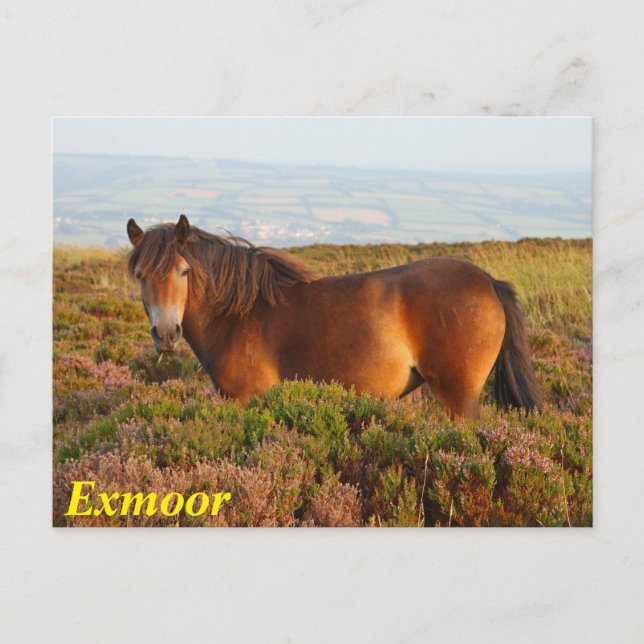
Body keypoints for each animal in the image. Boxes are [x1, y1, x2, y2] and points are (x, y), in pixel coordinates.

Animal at [126, 215, 542, 419]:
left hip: (460, 399)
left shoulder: (246, 400)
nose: (166, 333)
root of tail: (489, 282)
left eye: (184, 271)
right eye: (140, 275)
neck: (239, 316)